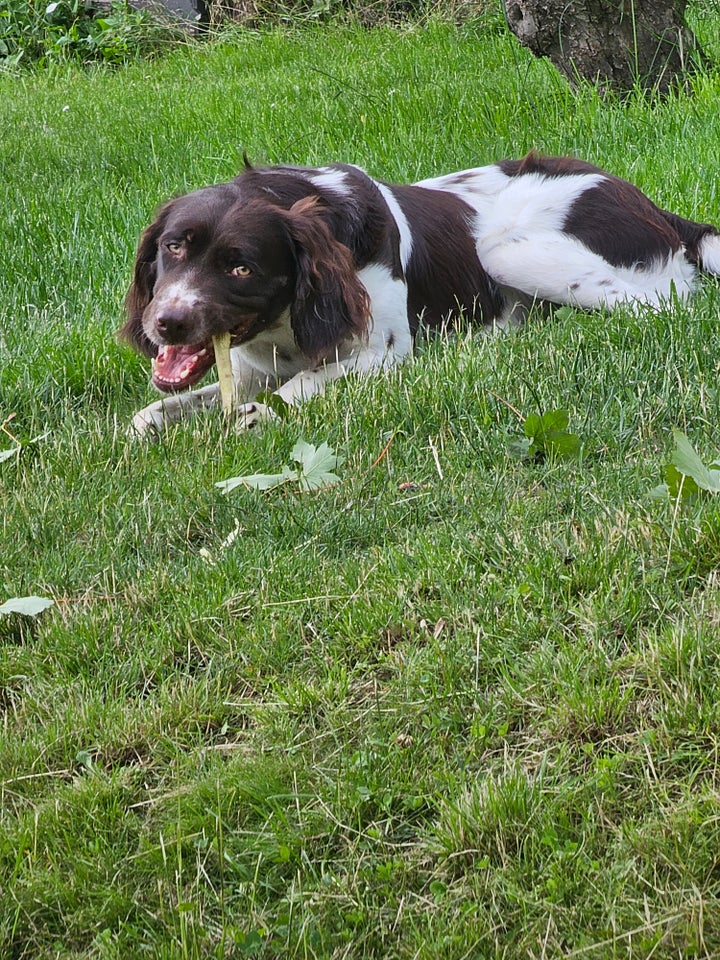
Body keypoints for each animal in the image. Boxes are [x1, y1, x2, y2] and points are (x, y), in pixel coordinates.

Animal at [122, 155, 720, 436]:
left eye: (241, 267)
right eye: (173, 247)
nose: (167, 323)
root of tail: (658, 209)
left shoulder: (384, 352)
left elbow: (299, 388)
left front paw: (261, 416)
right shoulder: (250, 369)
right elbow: (147, 414)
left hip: (503, 250)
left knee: (654, 306)